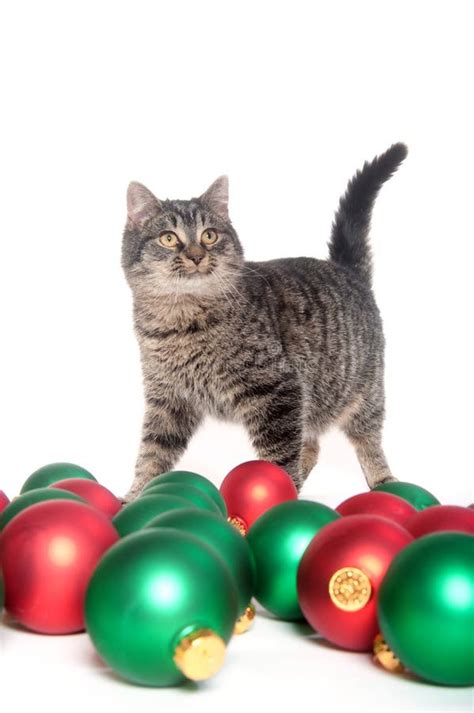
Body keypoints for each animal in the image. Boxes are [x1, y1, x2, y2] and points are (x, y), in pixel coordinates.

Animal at [121, 143, 408, 500]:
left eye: (210, 235)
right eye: (169, 238)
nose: (197, 256)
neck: (179, 319)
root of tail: (346, 269)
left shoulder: (278, 389)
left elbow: (279, 457)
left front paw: (278, 500)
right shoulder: (167, 398)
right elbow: (152, 452)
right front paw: (132, 499)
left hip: (364, 391)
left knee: (366, 440)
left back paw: (383, 480)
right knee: (311, 445)